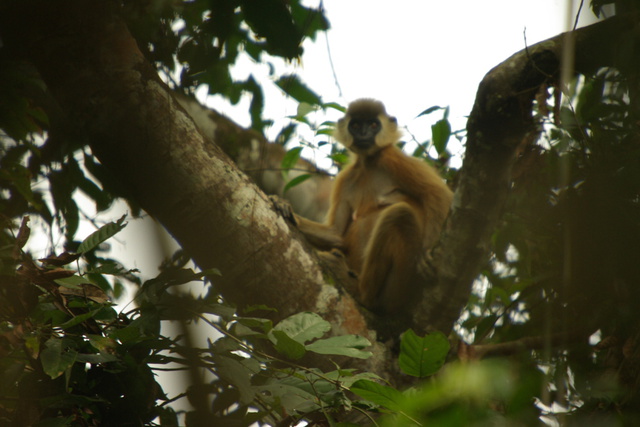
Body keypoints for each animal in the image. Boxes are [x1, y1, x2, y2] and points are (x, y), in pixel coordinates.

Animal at [288, 99, 450, 314]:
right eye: (356, 125)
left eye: (373, 125)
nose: (364, 134)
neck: (369, 163)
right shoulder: (346, 178)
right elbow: (337, 233)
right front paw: (284, 208)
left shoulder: (391, 157)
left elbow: (437, 194)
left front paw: (427, 252)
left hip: (399, 286)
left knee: (399, 214)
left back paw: (359, 291)